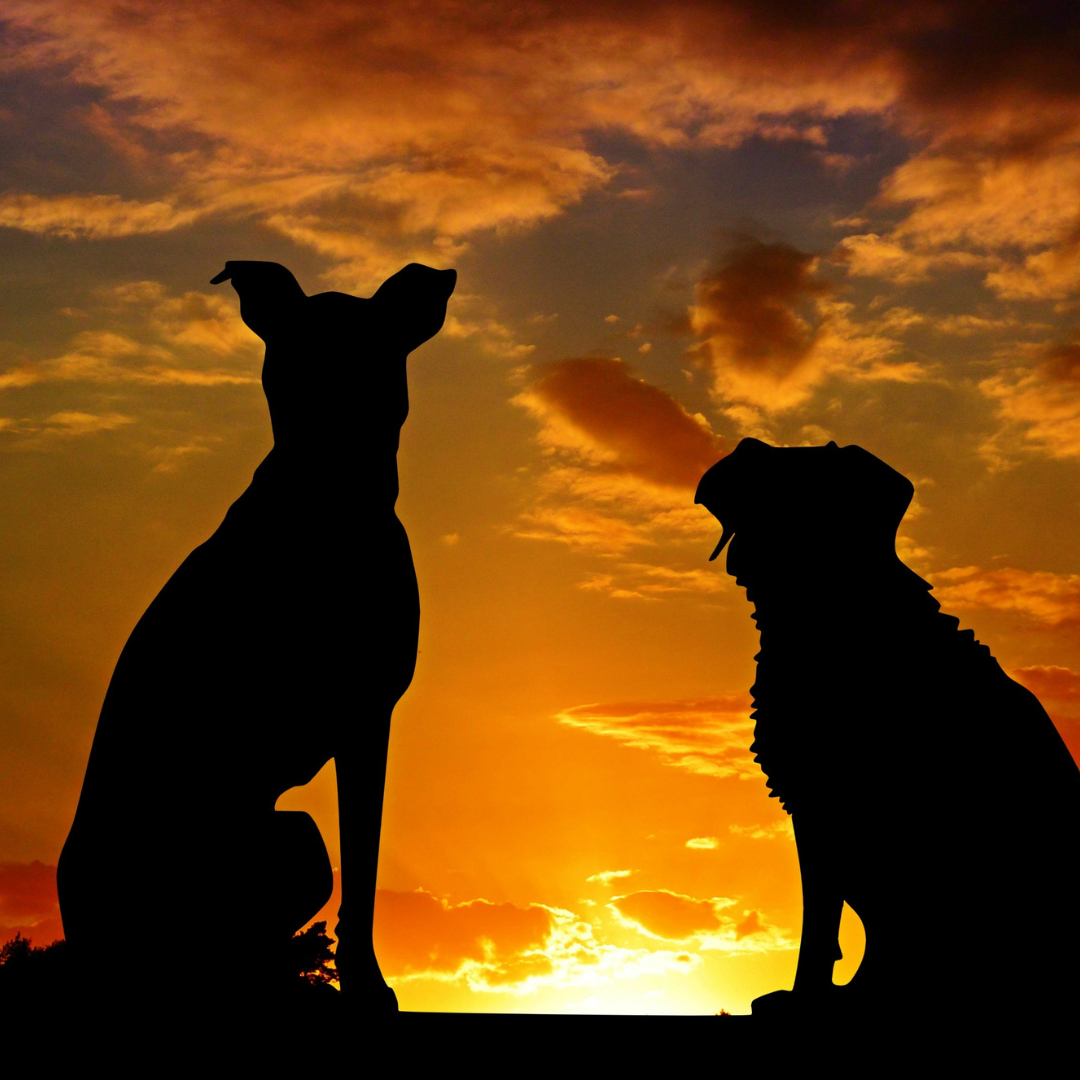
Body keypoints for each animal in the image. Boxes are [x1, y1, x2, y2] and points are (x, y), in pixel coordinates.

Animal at [59, 261, 455, 1019]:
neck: (325, 493)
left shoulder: (368, 718)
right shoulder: (366, 719)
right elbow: (365, 870)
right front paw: (368, 987)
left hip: (289, 842)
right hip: (283, 841)